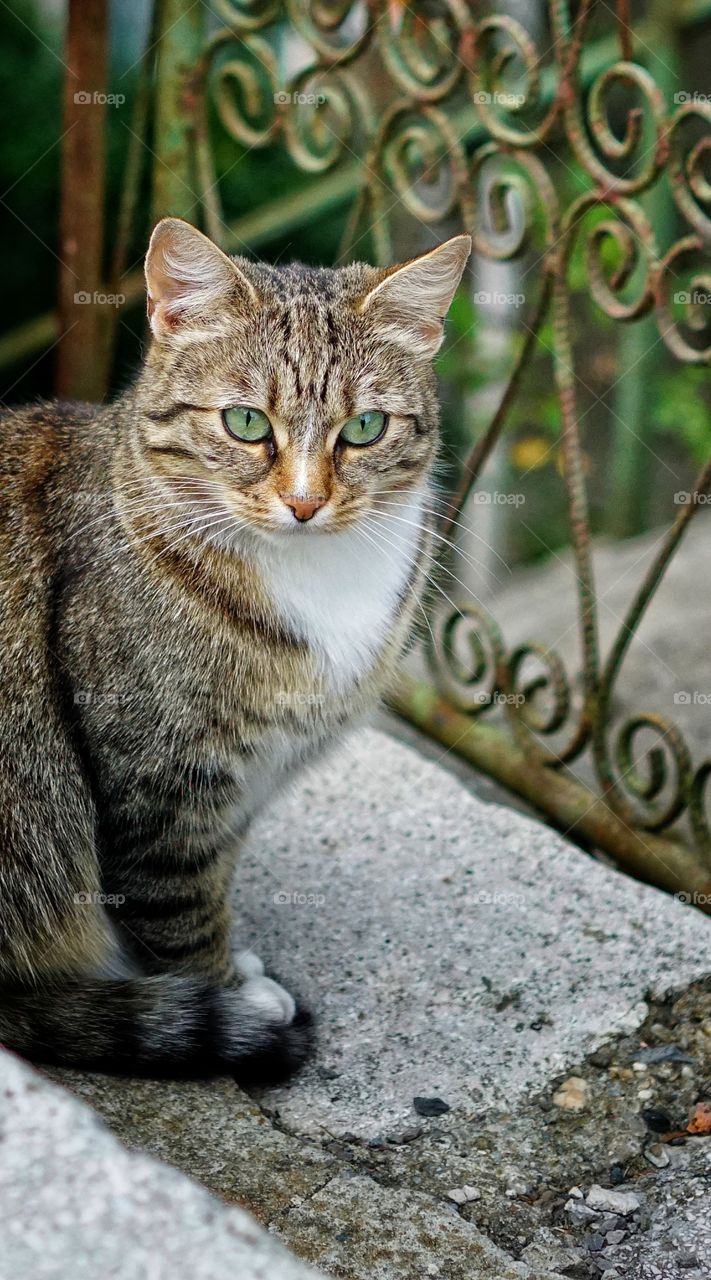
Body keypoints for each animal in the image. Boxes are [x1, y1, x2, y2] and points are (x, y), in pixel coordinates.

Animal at [0, 220, 471, 1080]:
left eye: (364, 429)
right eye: (246, 423)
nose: (305, 502)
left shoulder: (243, 783)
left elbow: (212, 874)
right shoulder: (159, 781)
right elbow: (178, 910)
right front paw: (223, 996)